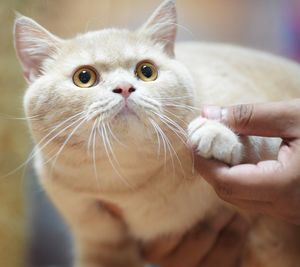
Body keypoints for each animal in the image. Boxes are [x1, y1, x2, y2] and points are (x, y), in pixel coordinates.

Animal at [15, 0, 300, 267]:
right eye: (84, 77)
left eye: (146, 71)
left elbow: (257, 138)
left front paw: (215, 132)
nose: (124, 87)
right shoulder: (101, 246)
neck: (129, 180)